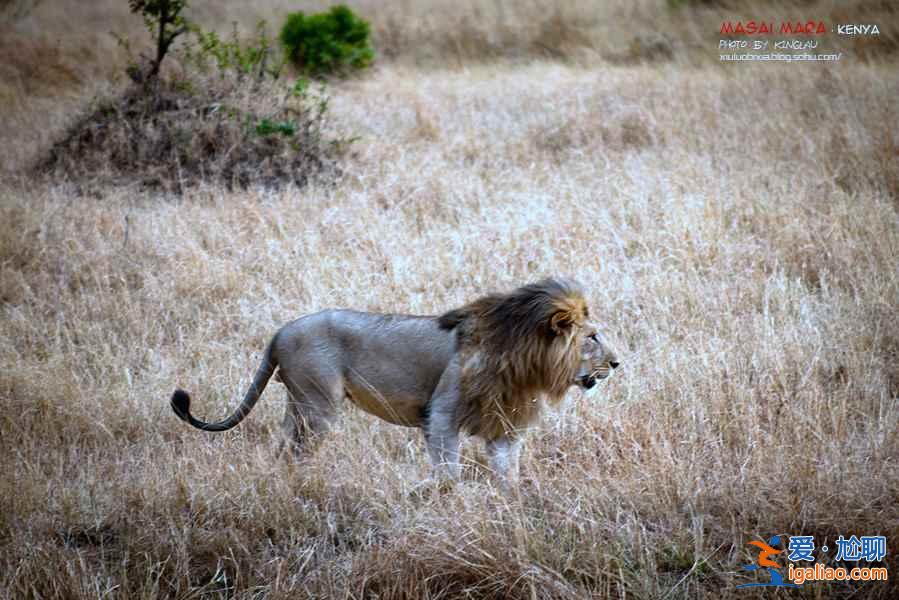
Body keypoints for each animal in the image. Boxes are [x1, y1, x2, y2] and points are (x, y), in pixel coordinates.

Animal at [171, 278, 620, 486]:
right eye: (593, 337)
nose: (617, 364)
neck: (527, 365)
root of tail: (281, 331)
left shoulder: (504, 430)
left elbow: (507, 474)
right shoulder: (441, 416)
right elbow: (449, 471)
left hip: (298, 405)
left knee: (280, 447)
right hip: (318, 406)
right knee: (296, 451)